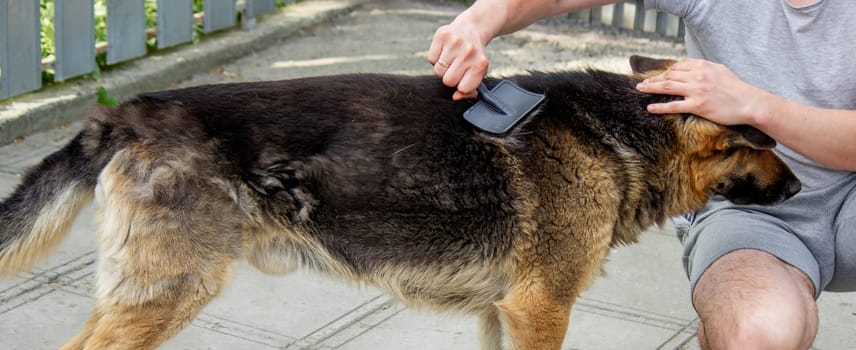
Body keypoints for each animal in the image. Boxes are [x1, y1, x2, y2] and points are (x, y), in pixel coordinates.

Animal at [1, 56, 804, 348]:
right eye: (763, 143)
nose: (800, 188)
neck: (614, 136)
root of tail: (126, 114)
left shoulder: (502, 313)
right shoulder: (540, 308)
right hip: (169, 292)